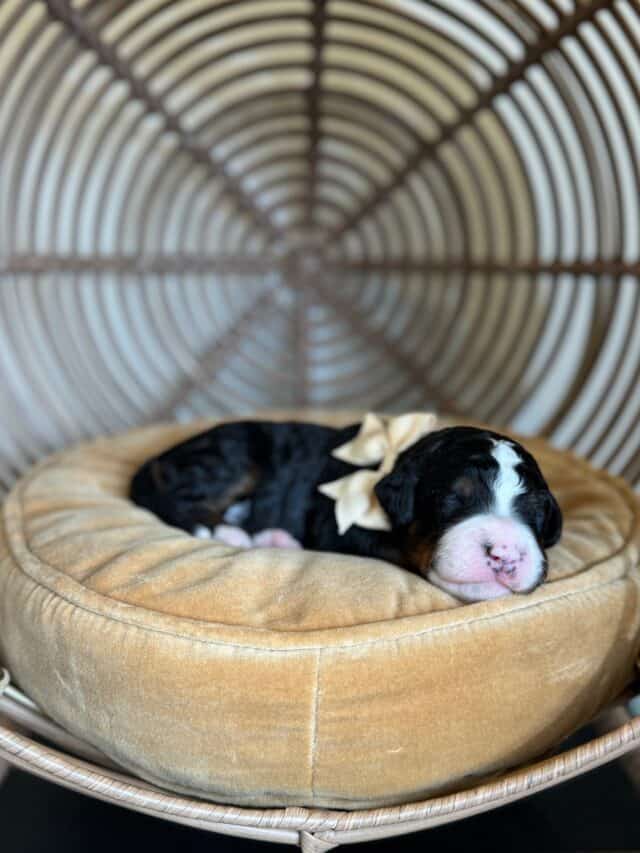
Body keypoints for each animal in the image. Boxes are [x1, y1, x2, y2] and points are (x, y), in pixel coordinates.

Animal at [129, 420, 560, 600]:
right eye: (453, 498)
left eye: (537, 513)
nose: (504, 553)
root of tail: (160, 455)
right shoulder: (340, 524)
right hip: (234, 453)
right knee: (175, 496)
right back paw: (226, 531)